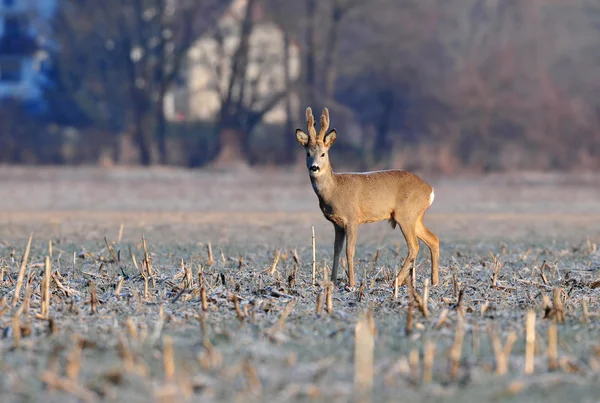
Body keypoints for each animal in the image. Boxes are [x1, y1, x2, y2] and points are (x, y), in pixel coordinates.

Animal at [296, 107, 440, 288]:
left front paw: (351, 284)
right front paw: (333, 282)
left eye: (323, 154)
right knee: (433, 239)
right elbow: (336, 251)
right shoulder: (337, 223)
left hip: (405, 214)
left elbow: (350, 250)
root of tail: (430, 190)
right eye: (308, 153)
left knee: (414, 246)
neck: (334, 189)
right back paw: (434, 282)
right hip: (416, 217)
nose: (314, 167)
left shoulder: (352, 218)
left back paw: (396, 282)